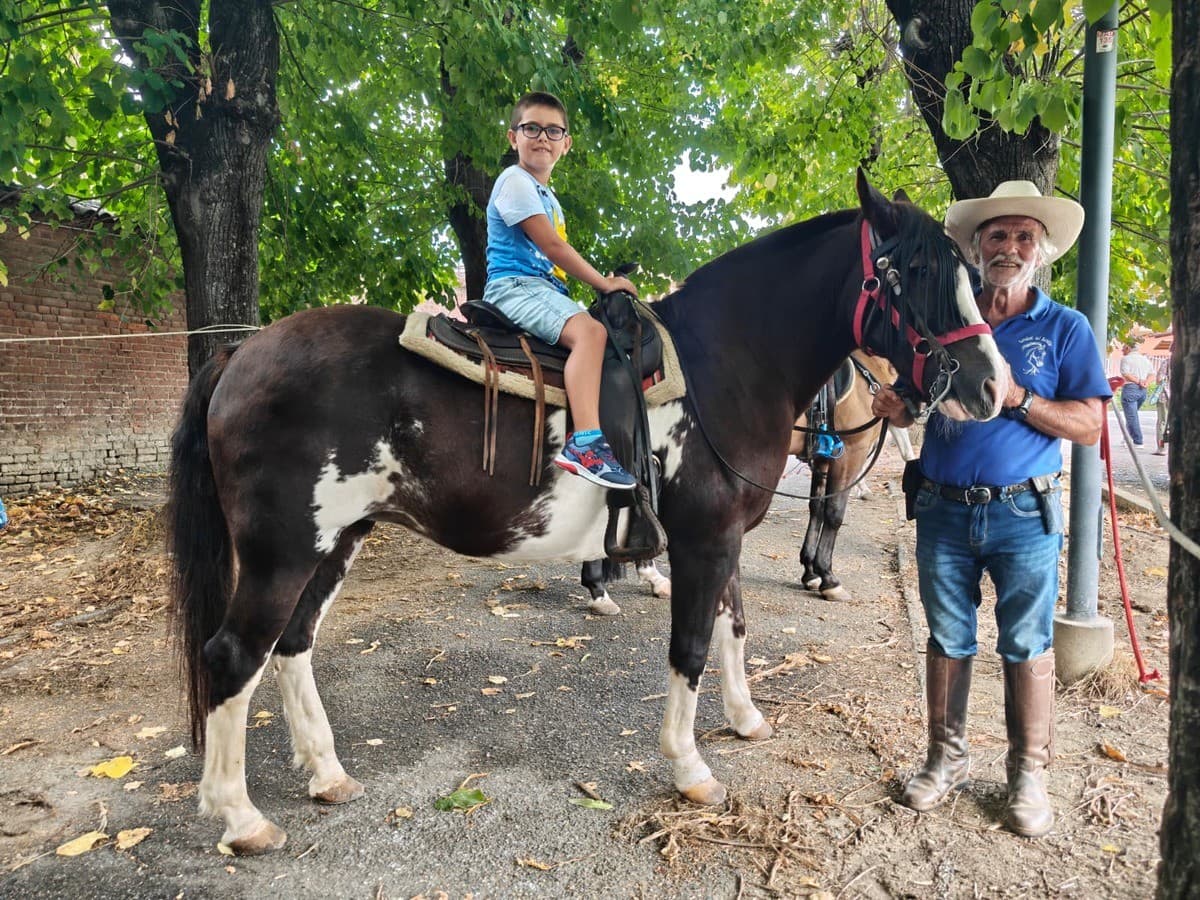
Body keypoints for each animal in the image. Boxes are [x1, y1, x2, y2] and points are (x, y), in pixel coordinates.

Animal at [788, 351, 913, 601]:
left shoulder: (824, 458)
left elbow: (817, 508)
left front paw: (810, 572)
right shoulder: (851, 455)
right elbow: (834, 513)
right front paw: (828, 577)